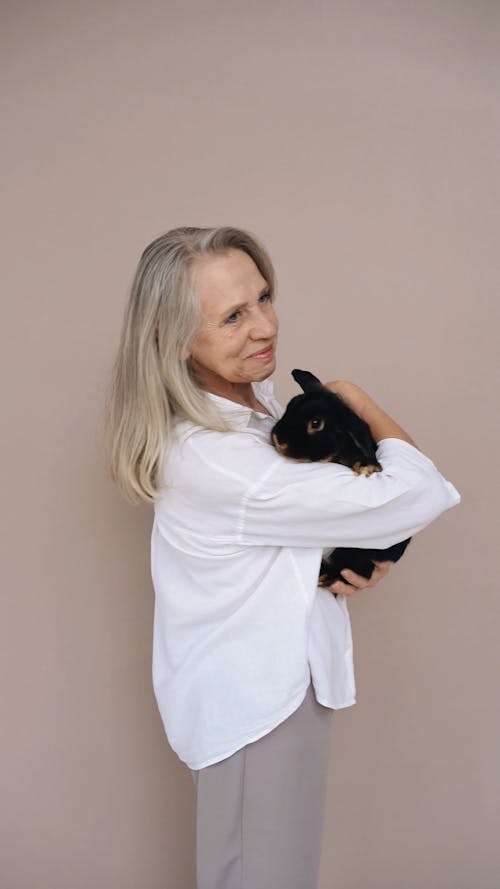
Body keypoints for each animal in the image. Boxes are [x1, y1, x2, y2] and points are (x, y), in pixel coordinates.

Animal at [272, 368, 412, 588]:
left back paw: (324, 575)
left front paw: (367, 466)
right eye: (290, 406)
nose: (280, 440)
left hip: (354, 552)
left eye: (315, 423)